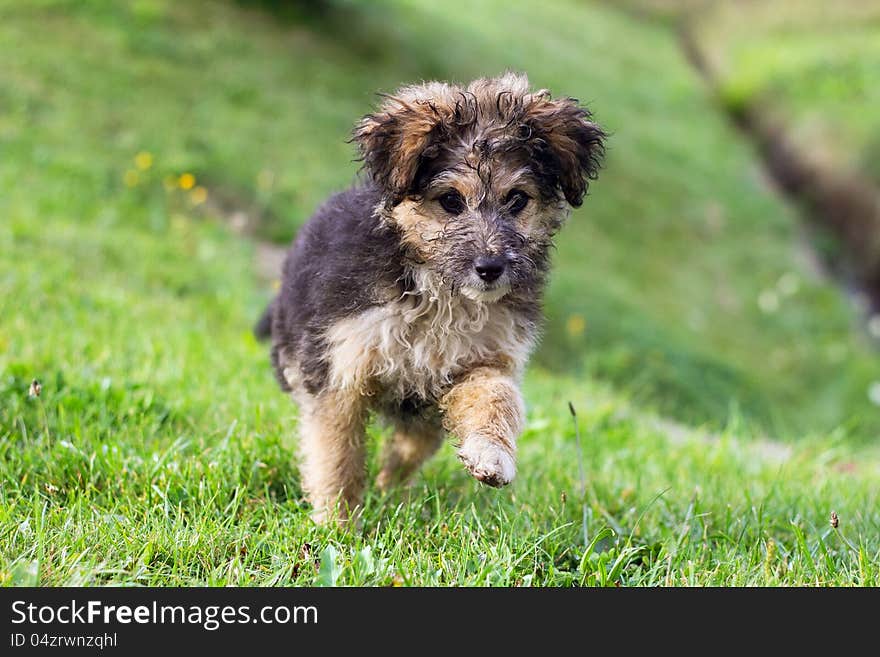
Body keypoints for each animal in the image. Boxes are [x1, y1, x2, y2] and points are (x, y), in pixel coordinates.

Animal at [254, 73, 604, 524]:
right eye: (451, 200)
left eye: (517, 199)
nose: (490, 267)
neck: (440, 296)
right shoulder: (341, 369)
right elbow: (336, 455)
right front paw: (337, 523)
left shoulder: (483, 358)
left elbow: (497, 397)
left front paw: (491, 454)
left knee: (410, 448)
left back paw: (391, 490)